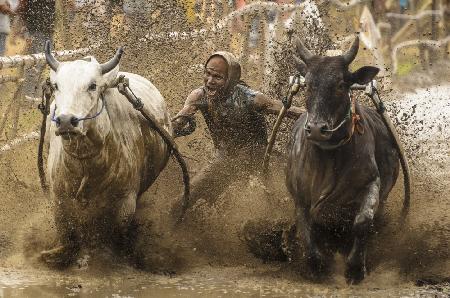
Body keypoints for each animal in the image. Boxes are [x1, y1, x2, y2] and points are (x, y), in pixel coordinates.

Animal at [41, 42, 172, 268]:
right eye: (56, 86)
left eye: (93, 86)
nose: (66, 121)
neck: (86, 162)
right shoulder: (59, 197)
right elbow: (67, 232)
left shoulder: (126, 200)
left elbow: (117, 233)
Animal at [288, 36, 408, 284]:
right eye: (308, 84)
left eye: (341, 85)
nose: (316, 129)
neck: (329, 155)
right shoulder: (300, 196)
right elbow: (305, 227)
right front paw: (316, 266)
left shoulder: (371, 184)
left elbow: (362, 222)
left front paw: (355, 268)